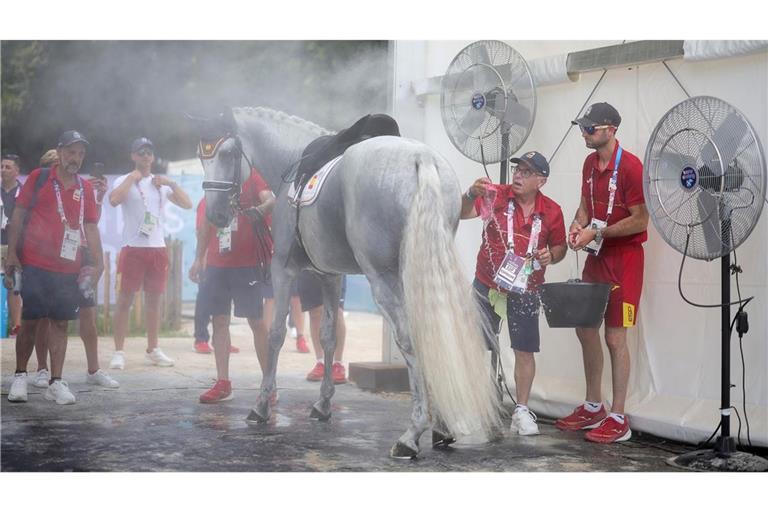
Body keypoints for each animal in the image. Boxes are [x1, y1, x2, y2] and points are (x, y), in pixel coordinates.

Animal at [195, 106, 500, 458]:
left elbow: (275, 335)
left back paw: (412, 433)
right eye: (201, 155)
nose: (216, 215)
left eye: (228, 153)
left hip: (384, 278)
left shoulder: (283, 269)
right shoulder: (330, 275)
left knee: (410, 338)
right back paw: (442, 428)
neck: (295, 162)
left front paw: (261, 405)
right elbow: (328, 335)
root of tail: (421, 159)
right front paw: (323, 403)